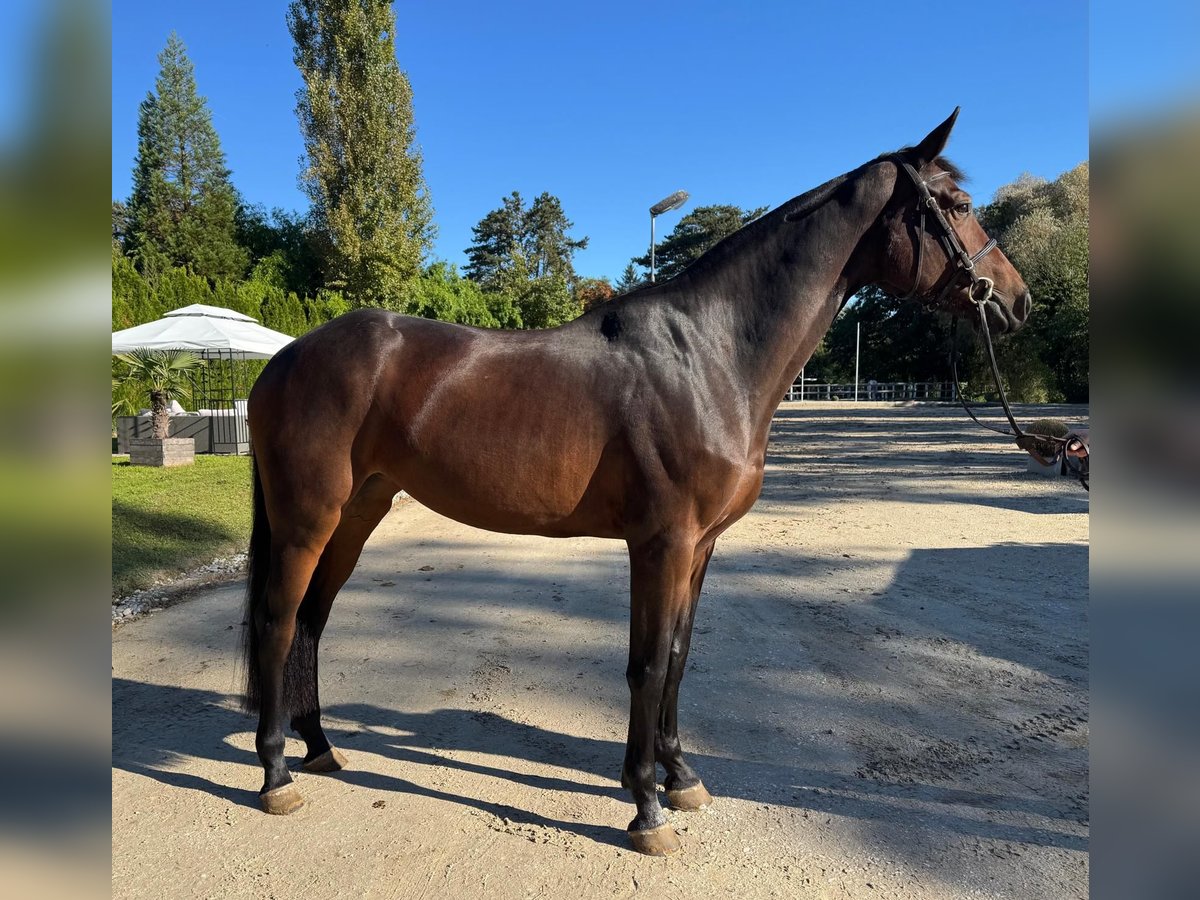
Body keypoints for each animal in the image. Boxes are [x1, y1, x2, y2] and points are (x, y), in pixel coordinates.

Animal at [240, 108, 1031, 856]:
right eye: (958, 204)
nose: (1016, 301)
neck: (710, 356)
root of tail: (285, 358)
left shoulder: (700, 547)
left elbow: (677, 658)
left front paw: (679, 778)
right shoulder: (662, 544)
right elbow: (647, 666)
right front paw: (647, 811)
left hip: (358, 513)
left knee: (312, 620)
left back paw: (322, 749)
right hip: (309, 518)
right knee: (279, 621)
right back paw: (276, 774)